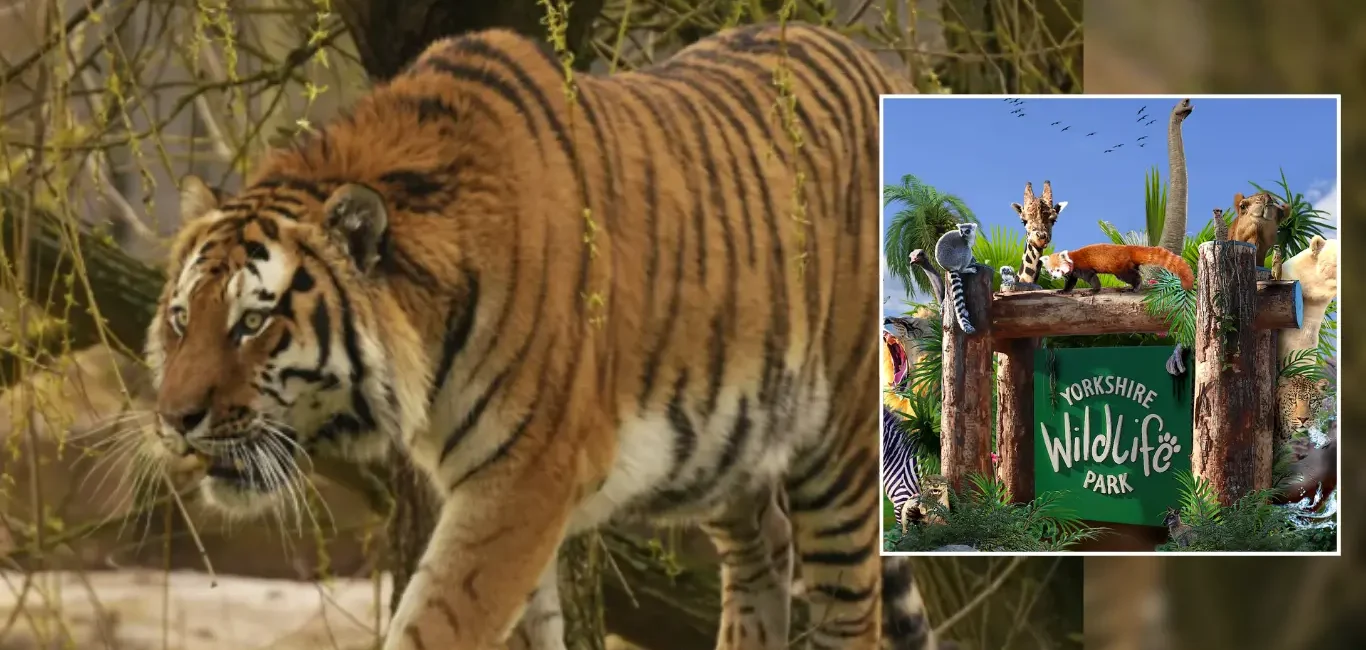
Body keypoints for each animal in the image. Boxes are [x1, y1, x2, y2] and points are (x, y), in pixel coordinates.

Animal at [142, 21, 946, 650]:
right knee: (764, 551)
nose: (175, 420)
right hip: (729, 445)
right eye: (182, 320)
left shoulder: (522, 480)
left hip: (841, 454)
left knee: (850, 606)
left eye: (254, 322)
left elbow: (436, 623)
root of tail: (884, 66)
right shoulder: (498, 485)